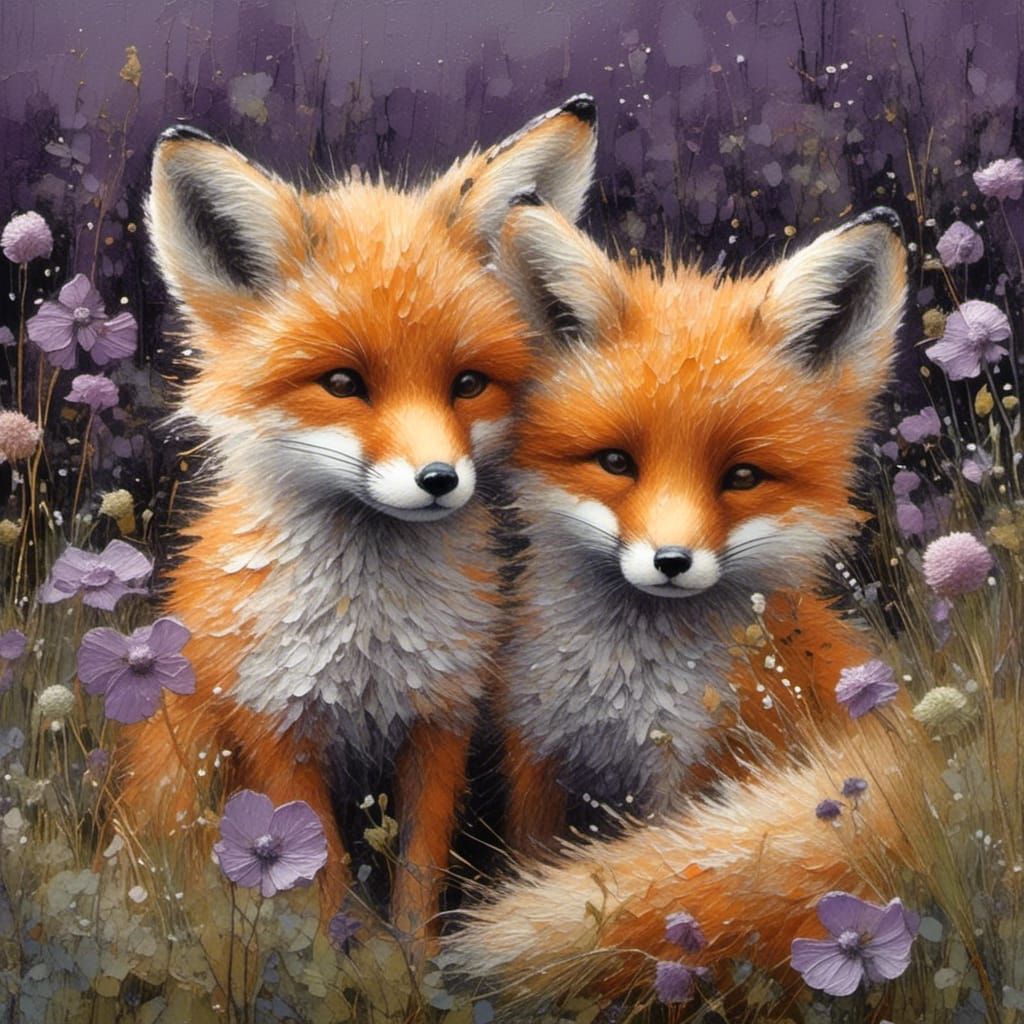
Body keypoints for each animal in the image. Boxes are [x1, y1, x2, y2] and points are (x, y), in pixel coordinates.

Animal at [116, 96, 598, 940]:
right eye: (342, 383)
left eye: (467, 384)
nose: (440, 481)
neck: (368, 641)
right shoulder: (275, 725)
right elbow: (321, 881)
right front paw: (330, 960)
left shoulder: (440, 718)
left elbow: (417, 879)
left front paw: (411, 963)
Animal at [442, 201, 945, 1004]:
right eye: (616, 462)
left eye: (741, 477)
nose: (670, 562)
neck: (618, 695)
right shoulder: (537, 756)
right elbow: (533, 857)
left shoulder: (693, 777)